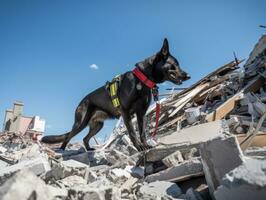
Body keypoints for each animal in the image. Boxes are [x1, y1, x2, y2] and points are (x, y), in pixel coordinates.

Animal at [41, 38, 190, 151]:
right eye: (175, 64)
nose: (188, 75)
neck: (141, 79)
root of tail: (82, 101)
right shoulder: (126, 113)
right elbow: (132, 133)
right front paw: (139, 147)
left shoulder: (141, 114)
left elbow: (142, 133)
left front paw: (145, 145)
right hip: (80, 123)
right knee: (68, 136)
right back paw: (62, 149)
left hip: (97, 126)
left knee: (84, 138)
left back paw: (88, 149)